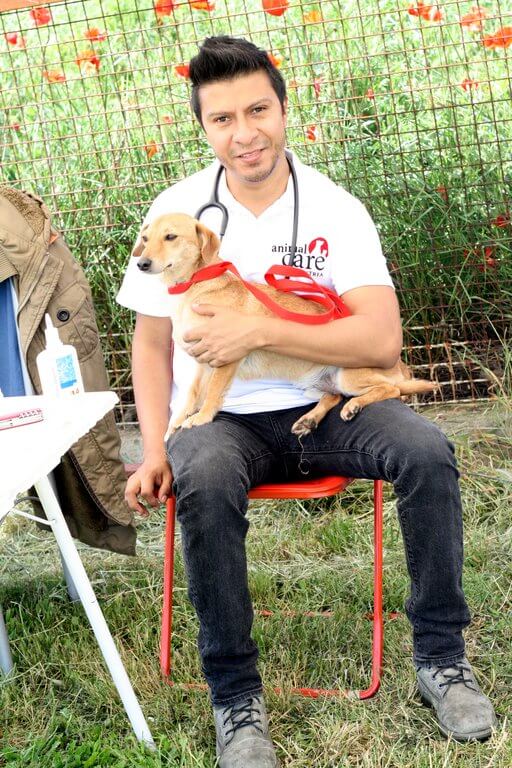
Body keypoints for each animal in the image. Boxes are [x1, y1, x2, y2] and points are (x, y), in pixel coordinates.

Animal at [134, 213, 436, 440]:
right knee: (333, 397)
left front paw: (201, 418)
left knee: (391, 390)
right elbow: (193, 393)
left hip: (350, 376)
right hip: (316, 385)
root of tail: (400, 367)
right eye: (145, 239)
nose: (141, 263)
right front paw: (177, 420)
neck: (194, 286)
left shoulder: (226, 357)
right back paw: (309, 419)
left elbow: (213, 394)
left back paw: (355, 405)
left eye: (171, 237)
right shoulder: (202, 361)